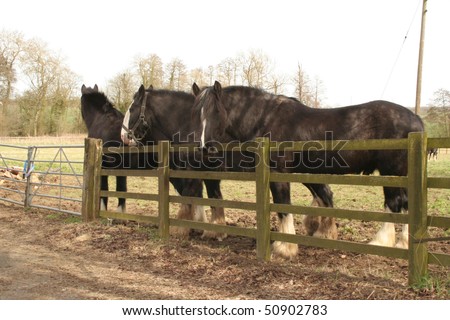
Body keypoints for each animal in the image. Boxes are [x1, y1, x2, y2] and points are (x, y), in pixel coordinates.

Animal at [120, 85, 225, 240]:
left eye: (132, 109)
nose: (123, 136)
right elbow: (211, 197)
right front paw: (213, 230)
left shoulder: (195, 172)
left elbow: (191, 195)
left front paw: (181, 228)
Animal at [192, 80, 424, 260]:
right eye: (197, 112)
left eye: (216, 111)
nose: (204, 147)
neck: (266, 119)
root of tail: (416, 120)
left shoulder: (279, 175)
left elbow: (284, 208)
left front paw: (284, 249)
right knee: (406, 204)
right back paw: (403, 243)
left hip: (391, 173)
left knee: (394, 204)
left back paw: (380, 243)